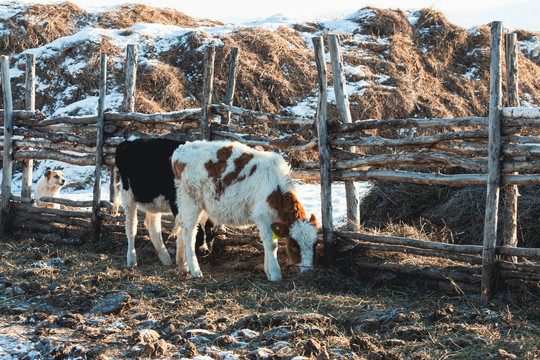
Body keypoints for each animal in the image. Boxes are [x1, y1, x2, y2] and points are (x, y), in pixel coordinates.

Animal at [113, 138, 213, 268]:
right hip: (128, 195)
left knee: (153, 225)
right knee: (131, 225)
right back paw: (132, 259)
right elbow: (182, 232)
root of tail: (128, 141)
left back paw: (165, 258)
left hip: (153, 200)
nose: (204, 251)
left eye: (210, 228)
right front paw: (183, 263)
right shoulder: (177, 205)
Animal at [172, 141, 316, 282]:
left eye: (314, 244)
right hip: (191, 199)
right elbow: (271, 244)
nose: (308, 270)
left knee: (182, 227)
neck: (276, 187)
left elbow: (267, 243)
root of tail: (181, 148)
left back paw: (183, 266)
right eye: (294, 245)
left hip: (186, 200)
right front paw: (275, 274)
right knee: (189, 230)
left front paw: (269, 271)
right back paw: (195, 270)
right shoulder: (262, 215)